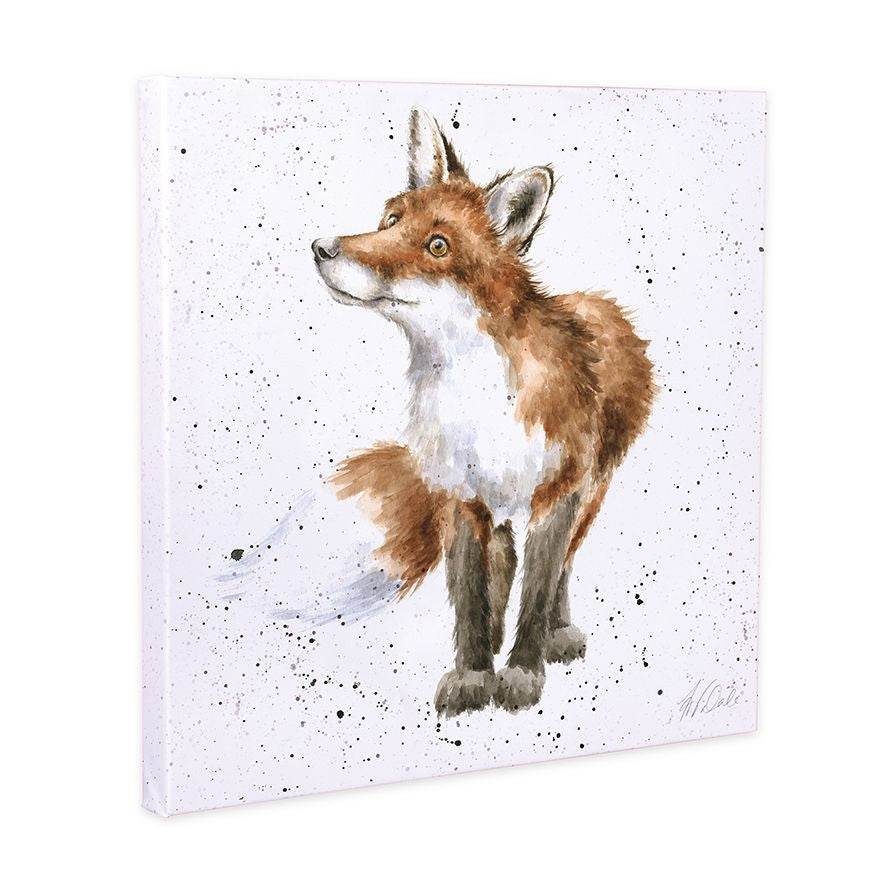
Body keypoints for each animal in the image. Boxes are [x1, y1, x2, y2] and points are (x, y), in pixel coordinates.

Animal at [305, 107, 655, 716]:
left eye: (438, 246)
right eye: (389, 220)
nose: (324, 248)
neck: (480, 404)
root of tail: (600, 302)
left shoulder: (557, 492)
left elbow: (536, 591)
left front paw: (521, 672)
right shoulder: (461, 497)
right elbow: (471, 597)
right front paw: (473, 672)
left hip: (592, 489)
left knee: (560, 567)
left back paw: (556, 634)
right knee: (505, 563)